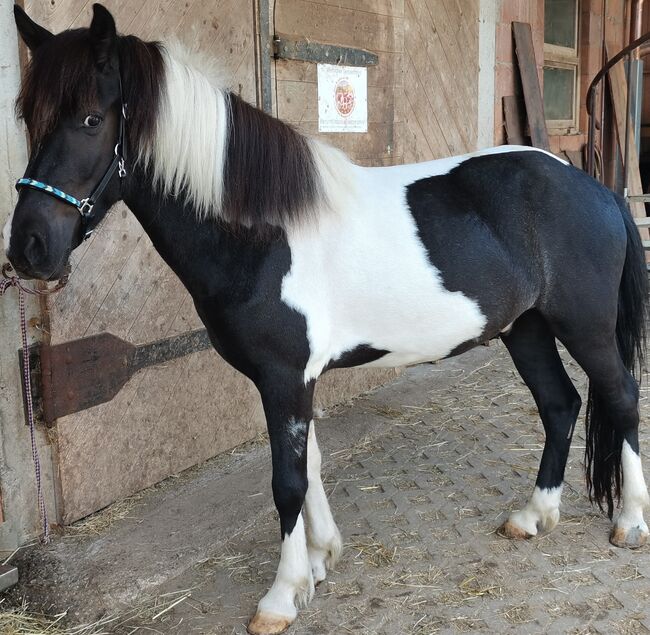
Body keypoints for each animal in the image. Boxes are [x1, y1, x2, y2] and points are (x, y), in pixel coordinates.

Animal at [6, 6, 648, 635]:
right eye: (29, 117)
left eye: (91, 119)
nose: (29, 247)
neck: (265, 235)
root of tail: (595, 188)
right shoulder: (294, 380)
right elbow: (310, 465)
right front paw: (319, 561)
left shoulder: (285, 377)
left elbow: (287, 482)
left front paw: (282, 596)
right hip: (526, 327)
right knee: (561, 404)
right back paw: (534, 515)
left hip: (584, 328)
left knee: (620, 395)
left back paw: (629, 522)